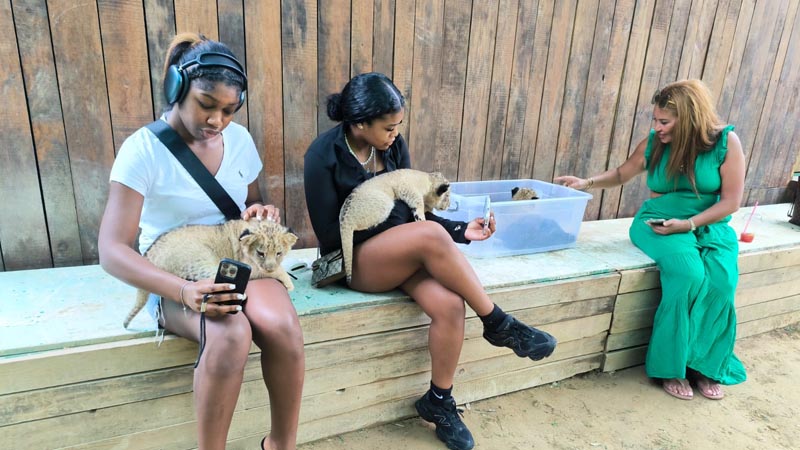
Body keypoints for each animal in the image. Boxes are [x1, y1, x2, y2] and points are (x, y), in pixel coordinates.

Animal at [123, 219, 297, 328]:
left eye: (279, 253)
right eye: (260, 253)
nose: (269, 268)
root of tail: (149, 256)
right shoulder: (249, 266)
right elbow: (274, 270)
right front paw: (288, 282)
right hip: (201, 260)